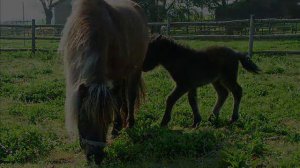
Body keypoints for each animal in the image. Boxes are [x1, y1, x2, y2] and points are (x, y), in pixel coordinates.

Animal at [59, 0, 148, 163]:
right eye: (83, 119)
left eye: (106, 120)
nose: (96, 157)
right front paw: (117, 127)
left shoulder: (115, 76)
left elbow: (117, 102)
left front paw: (116, 127)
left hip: (134, 69)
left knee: (129, 97)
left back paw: (129, 124)